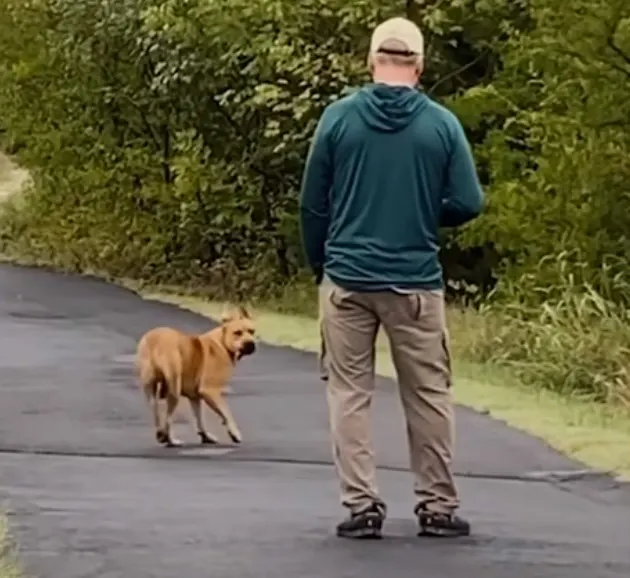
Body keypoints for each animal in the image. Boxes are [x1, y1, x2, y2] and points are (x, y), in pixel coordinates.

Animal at [136, 306, 256, 446]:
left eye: (252, 331)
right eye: (237, 333)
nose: (251, 344)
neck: (222, 342)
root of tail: (155, 340)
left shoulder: (195, 397)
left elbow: (199, 418)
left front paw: (205, 436)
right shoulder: (210, 391)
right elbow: (226, 412)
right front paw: (234, 433)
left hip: (150, 388)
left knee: (156, 412)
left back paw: (161, 435)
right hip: (174, 388)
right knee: (168, 418)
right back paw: (170, 439)